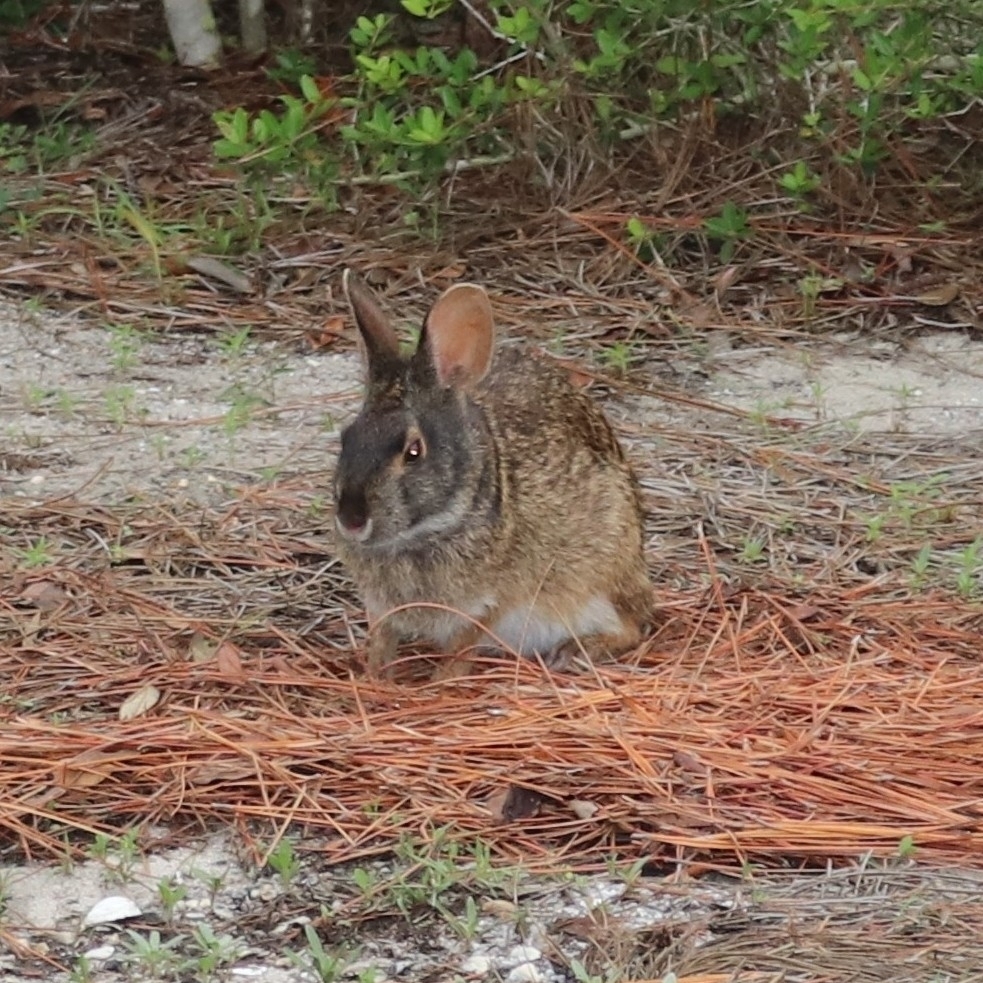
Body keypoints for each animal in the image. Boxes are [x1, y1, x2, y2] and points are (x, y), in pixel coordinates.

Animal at [333, 270, 653, 678]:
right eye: (347, 437)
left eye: (413, 451)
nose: (351, 520)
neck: (429, 529)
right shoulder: (380, 607)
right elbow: (382, 642)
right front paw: (374, 678)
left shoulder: (487, 604)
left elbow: (460, 649)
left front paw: (440, 684)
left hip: (600, 578)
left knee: (632, 627)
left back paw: (572, 652)